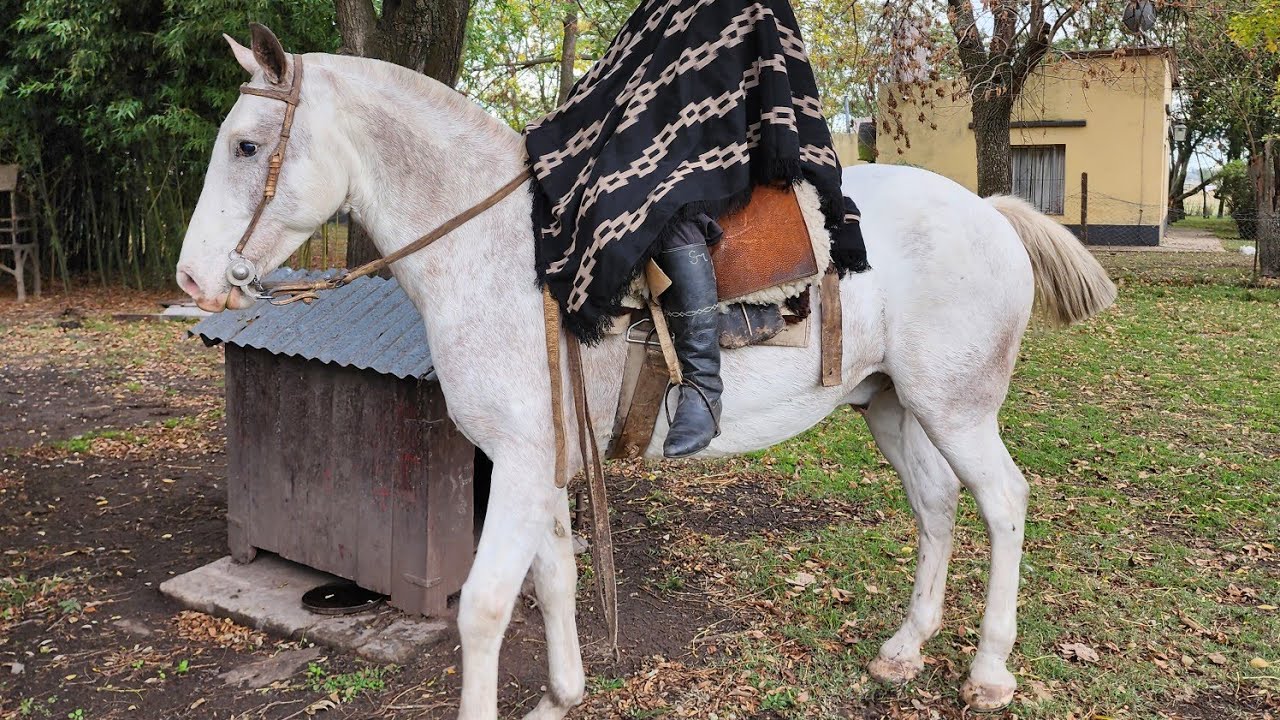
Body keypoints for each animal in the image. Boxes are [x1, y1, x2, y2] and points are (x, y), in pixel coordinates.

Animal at [176, 27, 1116, 720]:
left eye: (247, 145)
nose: (192, 279)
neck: (507, 259)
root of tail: (988, 211)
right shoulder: (546, 464)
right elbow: (555, 579)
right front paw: (562, 696)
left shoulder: (520, 465)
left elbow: (484, 607)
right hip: (890, 405)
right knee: (937, 505)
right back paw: (904, 650)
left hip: (958, 408)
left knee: (1003, 502)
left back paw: (989, 671)